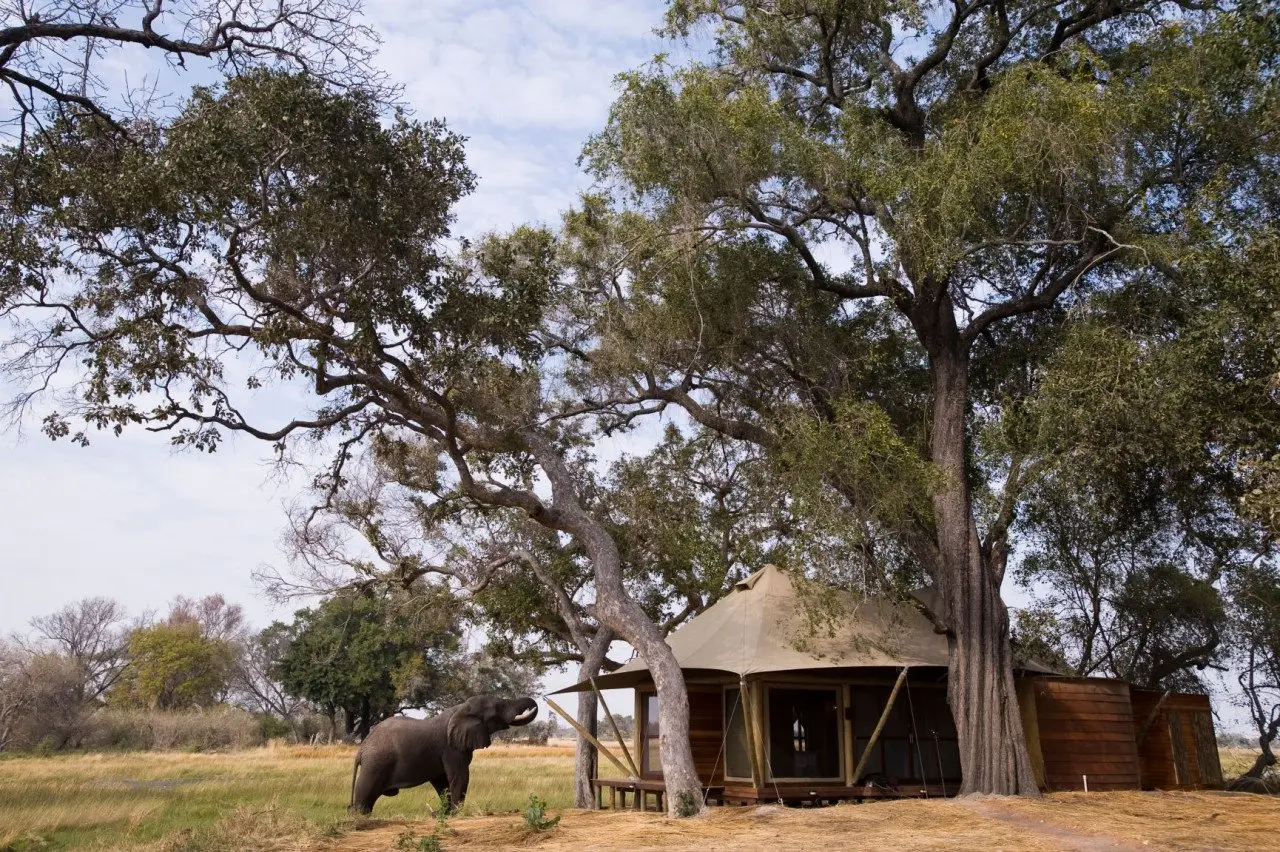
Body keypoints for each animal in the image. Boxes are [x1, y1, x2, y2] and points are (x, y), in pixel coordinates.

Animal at [348, 695, 537, 813]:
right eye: (499, 707)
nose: (534, 705)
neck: (461, 708)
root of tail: (361, 749)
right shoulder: (451, 748)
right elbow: (459, 776)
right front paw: (455, 814)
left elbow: (442, 782)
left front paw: (444, 813)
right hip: (375, 764)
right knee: (365, 795)